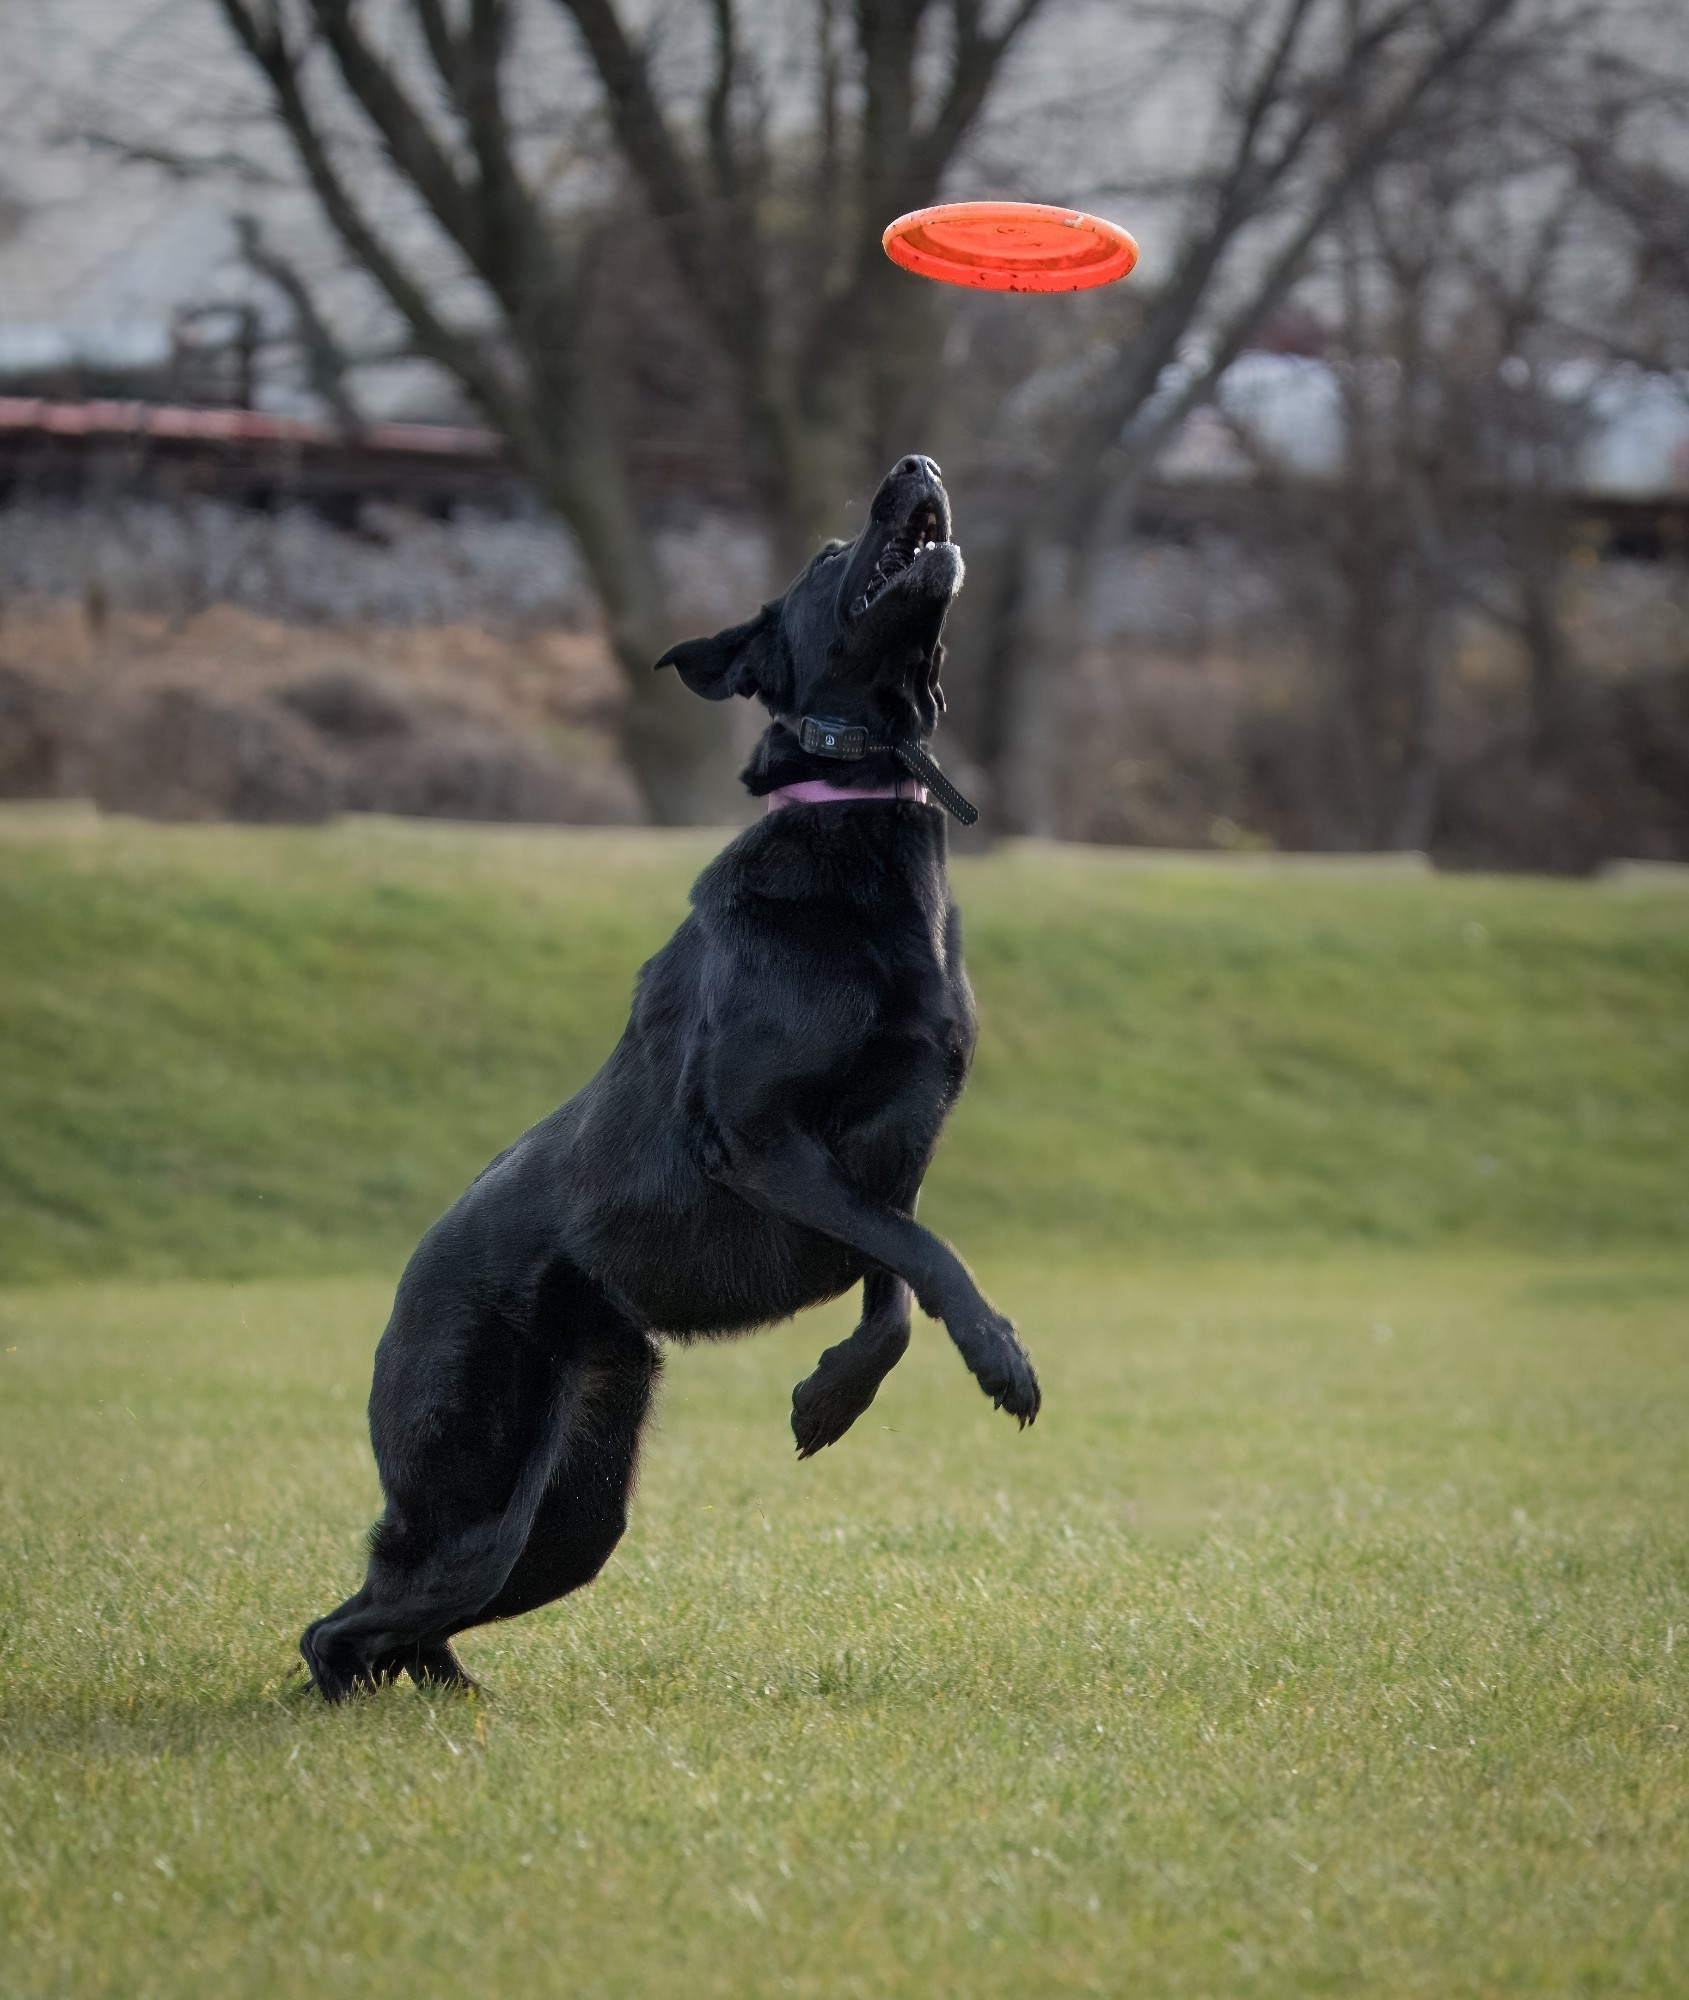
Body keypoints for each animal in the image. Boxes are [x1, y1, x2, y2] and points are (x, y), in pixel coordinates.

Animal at [304, 458, 1040, 1704]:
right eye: (827, 553)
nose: (918, 466)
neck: (856, 816)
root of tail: (406, 1283)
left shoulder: (888, 1158)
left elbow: (896, 1280)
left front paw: (830, 1394)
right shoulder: (759, 1139)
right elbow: (926, 1254)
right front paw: (1000, 1357)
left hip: (572, 1512)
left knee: (400, 1618)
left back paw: (448, 1697)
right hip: (478, 1487)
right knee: (341, 1624)